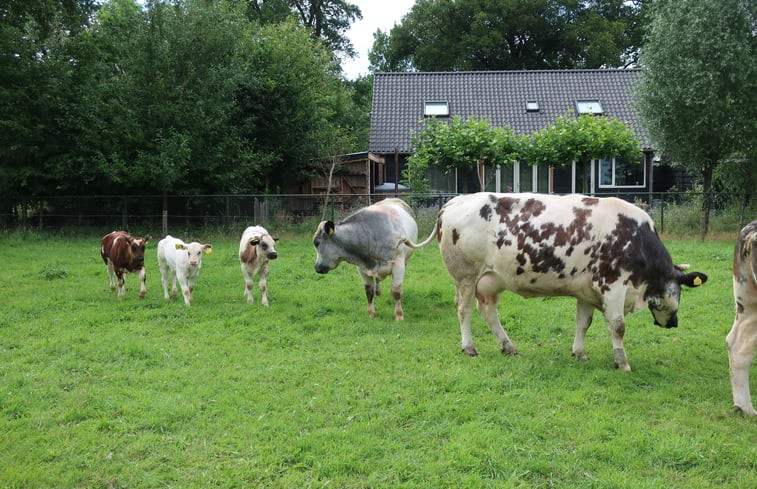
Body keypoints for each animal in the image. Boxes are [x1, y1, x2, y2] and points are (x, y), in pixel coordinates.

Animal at [404, 193, 704, 368]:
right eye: (679, 292)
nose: (674, 324)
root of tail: (452, 202)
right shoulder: (613, 284)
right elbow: (618, 326)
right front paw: (622, 362)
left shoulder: (586, 290)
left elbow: (584, 323)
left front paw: (579, 353)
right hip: (466, 276)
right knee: (464, 310)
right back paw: (469, 347)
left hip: (491, 280)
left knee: (488, 311)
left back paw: (508, 346)